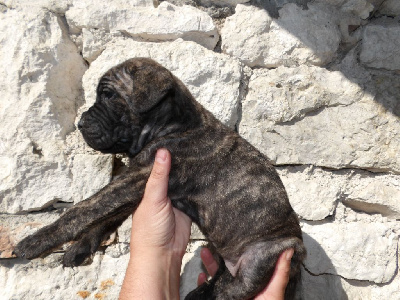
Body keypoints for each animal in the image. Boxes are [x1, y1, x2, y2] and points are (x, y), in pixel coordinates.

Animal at [14, 57, 304, 298]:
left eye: (108, 95)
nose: (80, 124)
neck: (173, 125)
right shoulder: (139, 183)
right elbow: (105, 218)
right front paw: (81, 247)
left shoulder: (137, 179)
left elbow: (84, 209)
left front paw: (36, 241)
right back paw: (199, 293)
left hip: (261, 258)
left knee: (233, 289)